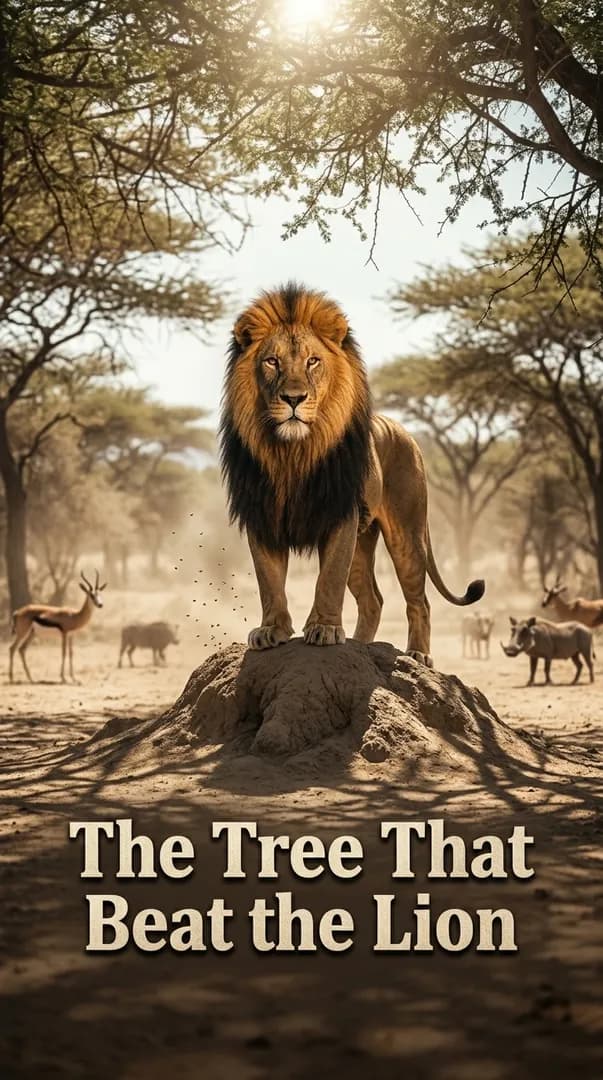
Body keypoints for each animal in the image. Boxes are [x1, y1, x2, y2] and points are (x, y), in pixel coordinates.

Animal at [220, 283, 484, 665]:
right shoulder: (262, 515)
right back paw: (361, 646)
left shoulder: (339, 515)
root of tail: (405, 432)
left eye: (313, 361)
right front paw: (272, 630)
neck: (291, 453)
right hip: (363, 541)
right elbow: (269, 581)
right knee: (373, 599)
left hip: (406, 533)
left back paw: (417, 655)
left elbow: (328, 578)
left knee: (419, 600)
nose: (294, 399)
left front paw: (325, 629)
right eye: (272, 361)